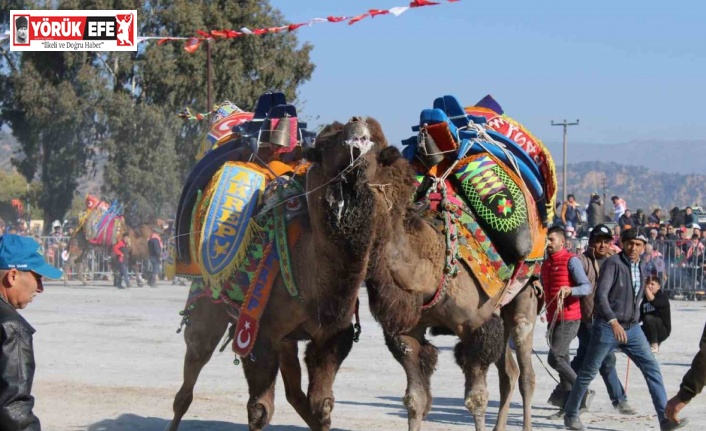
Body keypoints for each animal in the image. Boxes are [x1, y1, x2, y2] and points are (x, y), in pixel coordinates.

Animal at [166, 115, 410, 431]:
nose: (357, 123)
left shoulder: (332, 337)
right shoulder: (257, 334)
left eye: (378, 145)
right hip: (208, 304)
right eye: (326, 143)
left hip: (286, 341)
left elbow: (322, 406)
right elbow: (259, 410)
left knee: (295, 394)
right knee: (189, 377)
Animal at [364, 147, 540, 430]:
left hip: (523, 298)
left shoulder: (476, 326)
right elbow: (415, 400)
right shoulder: (406, 333)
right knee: (509, 373)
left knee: (526, 374)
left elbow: (476, 400)